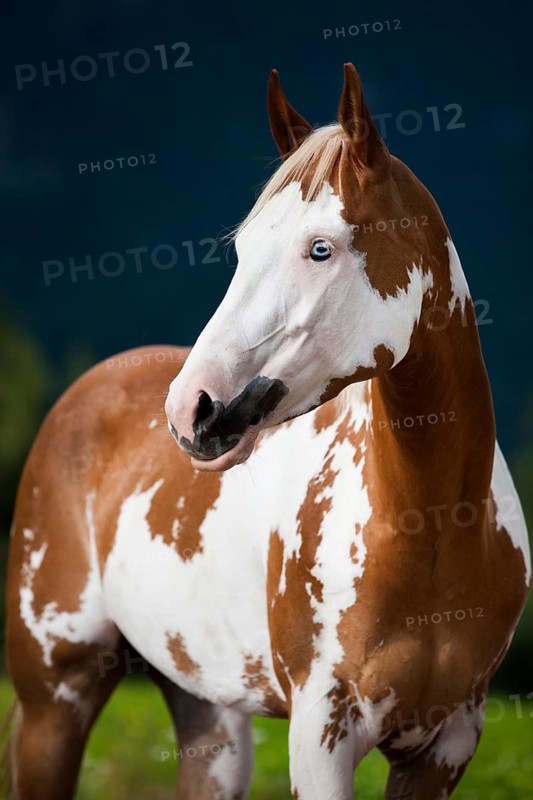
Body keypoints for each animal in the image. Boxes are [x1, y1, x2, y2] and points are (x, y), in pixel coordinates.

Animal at [3, 63, 530, 800]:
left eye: (320, 248)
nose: (190, 410)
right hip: (54, 700)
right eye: (243, 248)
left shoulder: (448, 744)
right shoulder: (321, 735)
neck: (431, 529)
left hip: (209, 720)